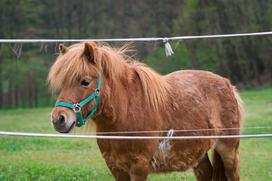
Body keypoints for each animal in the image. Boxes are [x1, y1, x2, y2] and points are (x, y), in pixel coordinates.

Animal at [47, 41, 243, 180]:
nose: (58, 119)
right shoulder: (116, 168)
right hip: (198, 154)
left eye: (85, 81)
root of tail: (228, 85)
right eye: (62, 83)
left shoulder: (139, 167)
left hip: (228, 151)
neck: (124, 113)